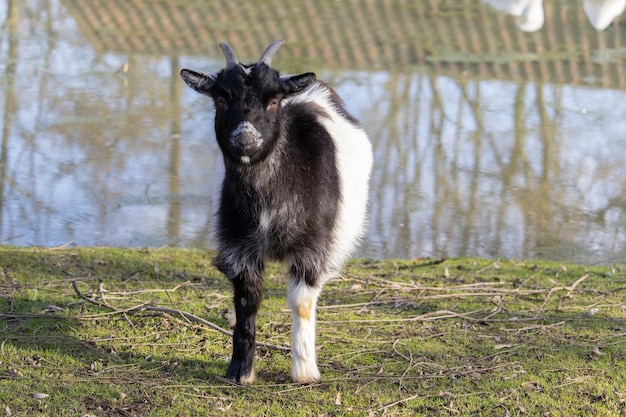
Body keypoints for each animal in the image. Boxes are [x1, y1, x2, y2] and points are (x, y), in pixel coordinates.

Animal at [178, 39, 370, 384]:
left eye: (274, 100)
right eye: (222, 98)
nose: (245, 139)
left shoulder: (312, 247)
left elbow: (302, 303)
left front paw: (305, 371)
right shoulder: (239, 244)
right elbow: (247, 299)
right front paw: (240, 371)